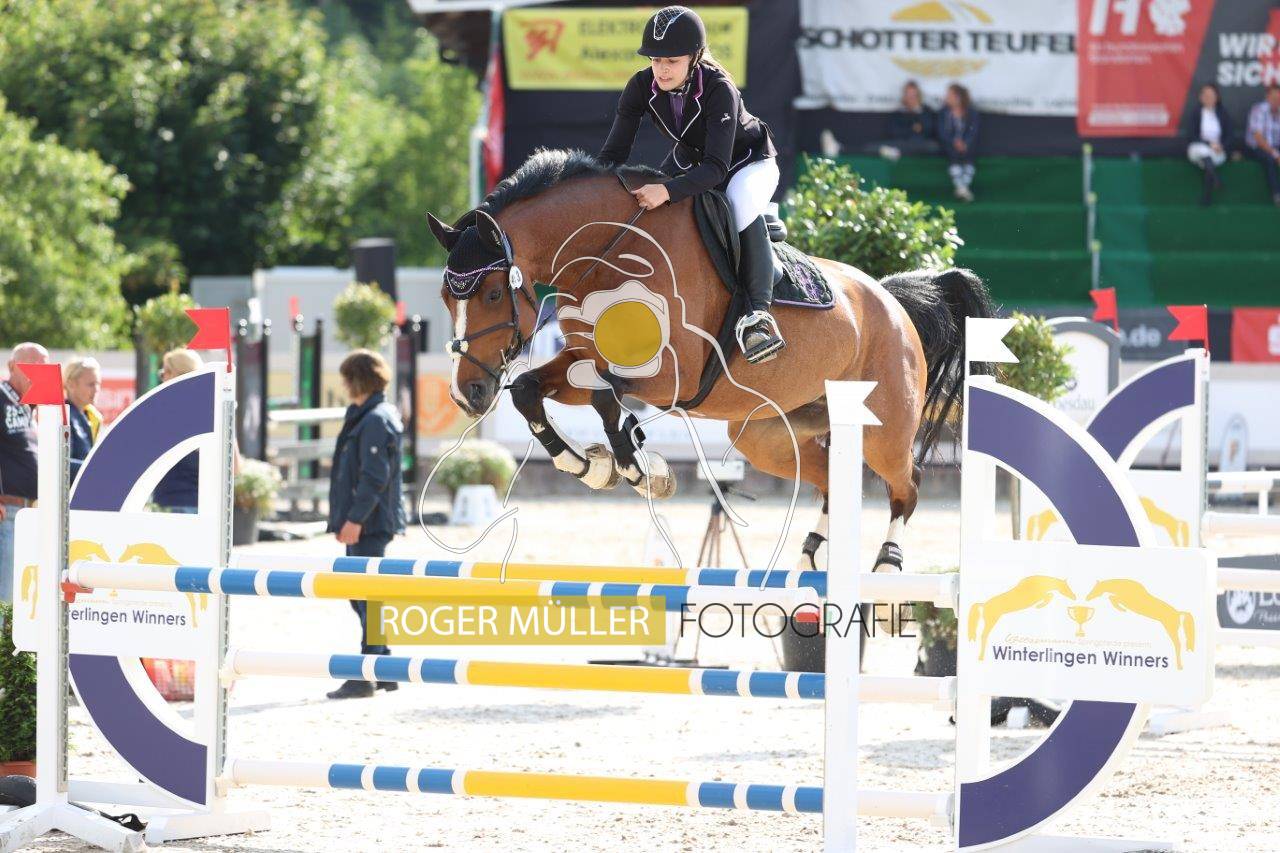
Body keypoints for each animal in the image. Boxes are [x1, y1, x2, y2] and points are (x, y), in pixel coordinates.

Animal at [426, 148, 994, 573]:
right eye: (445, 298)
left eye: (493, 295)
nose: (466, 392)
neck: (612, 252)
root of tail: (891, 299)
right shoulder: (580, 359)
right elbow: (532, 391)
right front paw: (591, 465)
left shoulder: (669, 376)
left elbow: (606, 397)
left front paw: (638, 468)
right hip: (767, 435)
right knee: (834, 476)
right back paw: (810, 554)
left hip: (884, 427)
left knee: (905, 484)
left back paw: (887, 560)